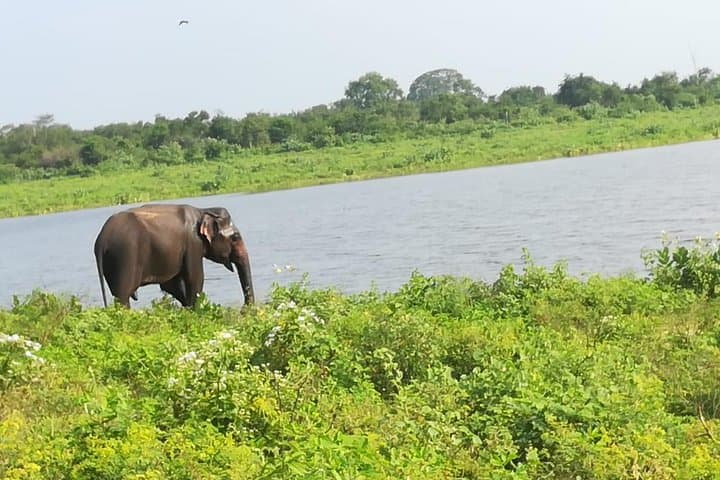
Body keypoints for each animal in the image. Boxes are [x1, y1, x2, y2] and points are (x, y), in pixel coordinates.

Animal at [93, 203, 254, 308]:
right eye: (235, 237)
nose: (244, 310)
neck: (203, 211)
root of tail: (101, 240)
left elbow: (171, 285)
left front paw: (188, 309)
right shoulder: (193, 243)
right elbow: (195, 278)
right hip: (125, 256)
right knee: (122, 295)